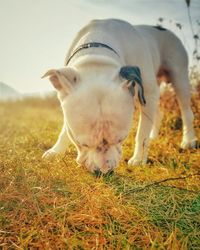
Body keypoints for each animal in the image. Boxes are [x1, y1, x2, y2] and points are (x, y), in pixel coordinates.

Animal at [41, 18, 197, 174]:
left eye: (121, 139)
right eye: (82, 144)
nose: (103, 171)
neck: (97, 54)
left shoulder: (147, 91)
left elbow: (142, 132)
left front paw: (139, 159)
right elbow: (65, 129)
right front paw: (56, 150)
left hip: (178, 76)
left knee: (185, 110)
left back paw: (189, 140)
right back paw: (153, 136)